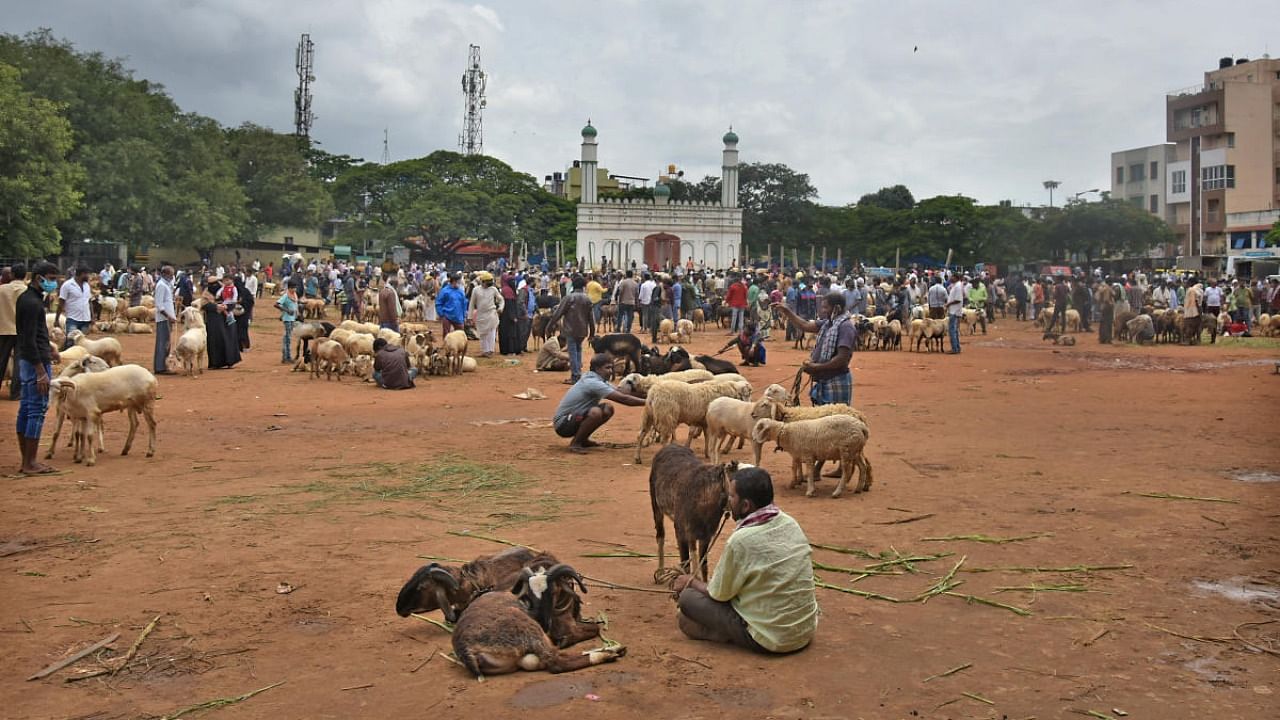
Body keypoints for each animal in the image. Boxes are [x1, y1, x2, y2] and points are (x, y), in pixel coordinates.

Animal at [448, 563, 622, 676]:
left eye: (552, 591)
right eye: (530, 594)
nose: (543, 620)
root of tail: (468, 650)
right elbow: (595, 628)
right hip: (531, 634)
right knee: (555, 661)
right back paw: (612, 652)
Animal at [650, 443, 742, 584]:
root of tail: (671, 445)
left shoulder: (706, 535)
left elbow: (703, 564)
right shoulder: (680, 530)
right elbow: (685, 563)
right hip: (656, 506)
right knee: (660, 535)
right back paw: (660, 574)